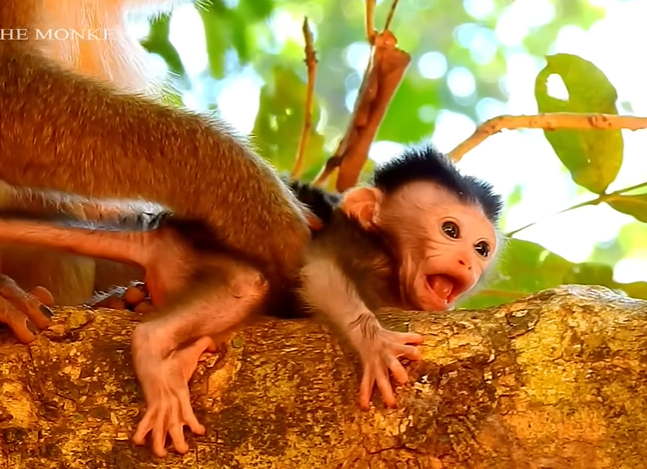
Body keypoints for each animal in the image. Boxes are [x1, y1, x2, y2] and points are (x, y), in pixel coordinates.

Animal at [0, 144, 504, 417]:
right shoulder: (357, 245)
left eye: (482, 248)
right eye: (450, 230)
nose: (467, 262)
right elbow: (317, 272)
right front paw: (374, 343)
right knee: (246, 284)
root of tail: (164, 231)